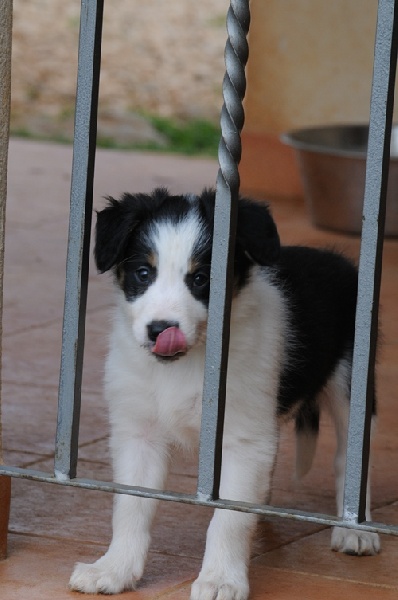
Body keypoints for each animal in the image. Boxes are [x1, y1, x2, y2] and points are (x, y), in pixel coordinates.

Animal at [70, 189, 380, 600]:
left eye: (202, 279)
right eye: (143, 273)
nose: (160, 330)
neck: (187, 365)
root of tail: (340, 261)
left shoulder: (244, 439)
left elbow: (229, 517)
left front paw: (220, 580)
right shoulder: (139, 433)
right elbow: (131, 505)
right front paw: (113, 569)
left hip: (351, 386)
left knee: (350, 459)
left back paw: (355, 530)